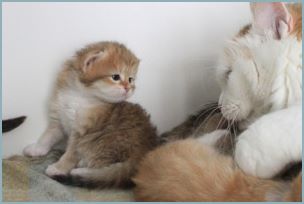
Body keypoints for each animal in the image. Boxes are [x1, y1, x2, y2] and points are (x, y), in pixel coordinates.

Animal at [23, 41, 159, 188]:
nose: (129, 88)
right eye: (116, 77)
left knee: (107, 169)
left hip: (105, 143)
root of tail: (143, 152)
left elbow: (70, 154)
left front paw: (59, 167)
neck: (79, 95)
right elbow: (47, 136)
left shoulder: (81, 133)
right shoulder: (58, 117)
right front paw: (37, 149)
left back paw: (80, 170)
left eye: (130, 79)